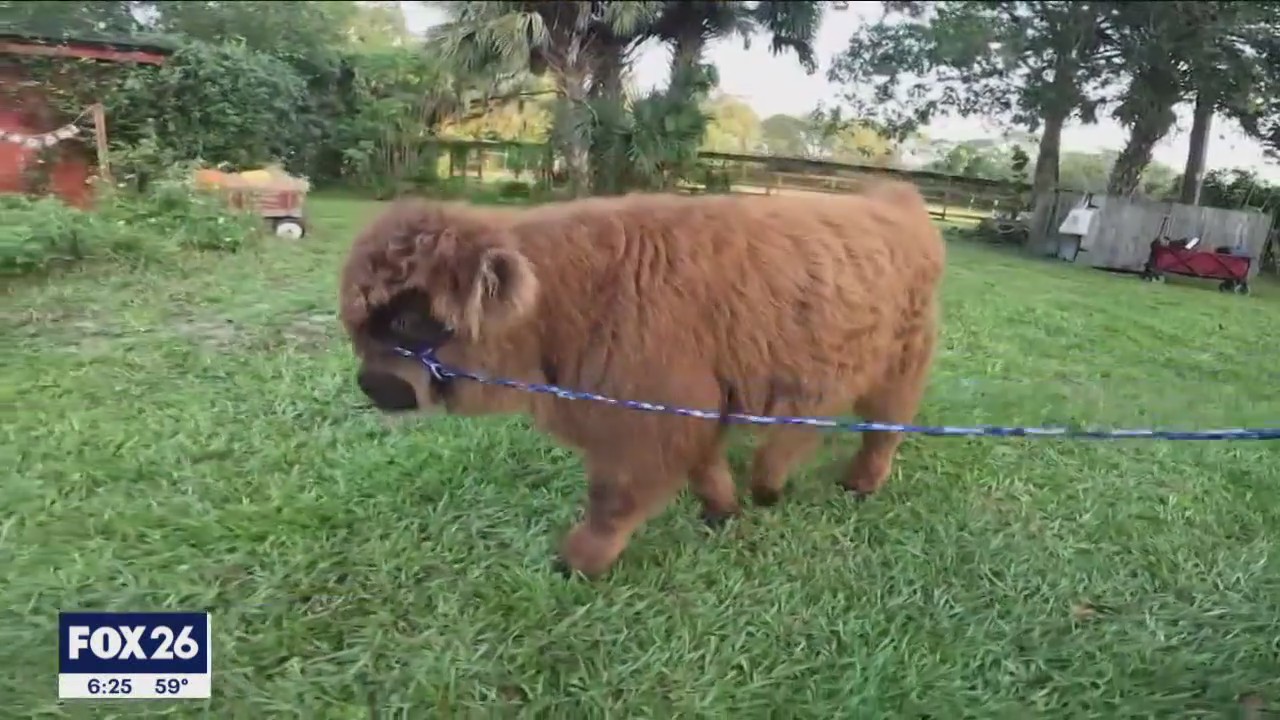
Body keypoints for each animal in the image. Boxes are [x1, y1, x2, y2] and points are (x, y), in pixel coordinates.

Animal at [338, 184, 945, 578]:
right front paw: (722, 511)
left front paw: (578, 561)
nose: (372, 385)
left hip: (901, 363)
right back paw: (769, 483)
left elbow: (615, 497)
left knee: (883, 428)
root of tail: (898, 203)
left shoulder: (651, 416)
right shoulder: (692, 405)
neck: (568, 300)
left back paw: (855, 483)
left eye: (407, 320)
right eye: (358, 325)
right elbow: (704, 466)